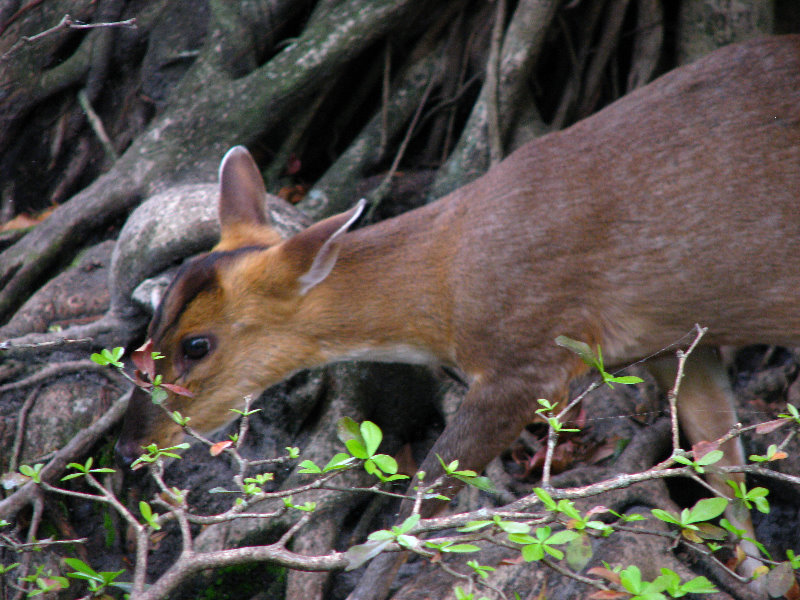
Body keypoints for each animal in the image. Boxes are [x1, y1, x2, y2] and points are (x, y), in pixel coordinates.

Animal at [115, 35, 796, 596]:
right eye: (152, 324)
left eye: (198, 344)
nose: (127, 445)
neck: (447, 292)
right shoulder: (673, 340)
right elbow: (722, 463)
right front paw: (760, 570)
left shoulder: (529, 357)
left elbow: (423, 499)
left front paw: (368, 583)